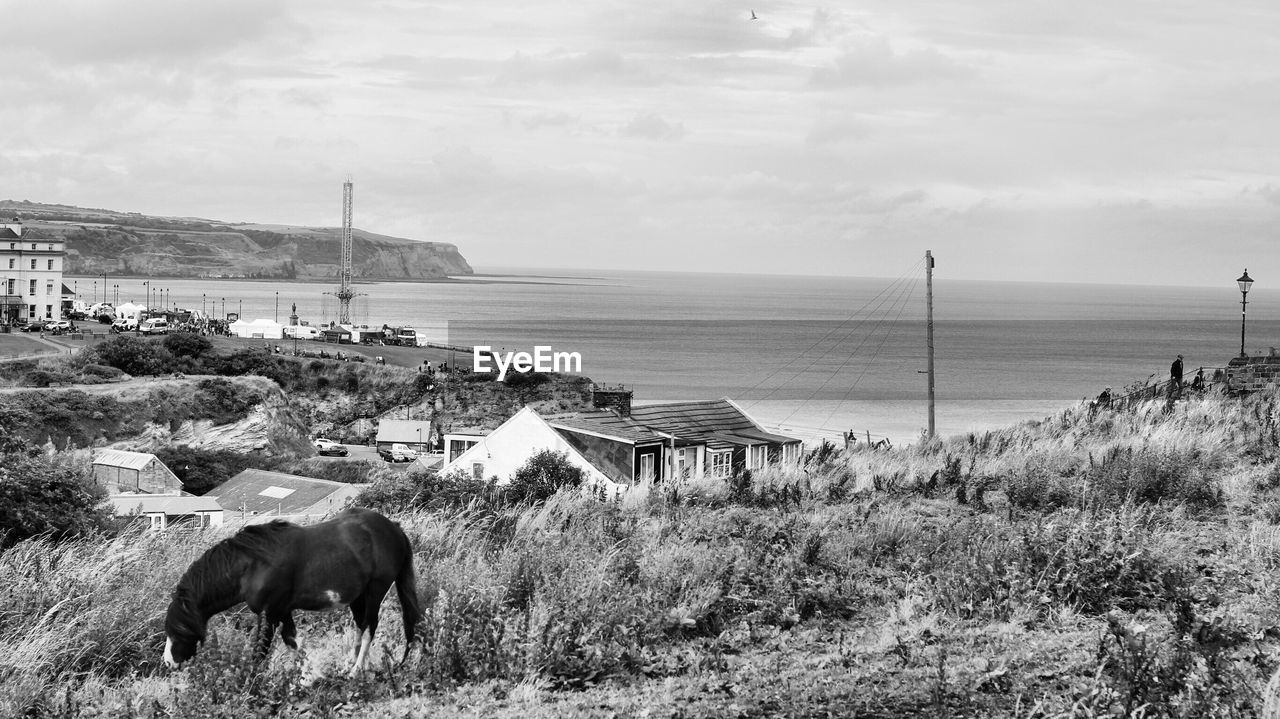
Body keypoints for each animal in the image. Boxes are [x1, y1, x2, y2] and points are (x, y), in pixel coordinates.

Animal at [162, 504, 422, 670]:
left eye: (178, 630)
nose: (168, 662)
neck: (253, 564)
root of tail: (394, 528)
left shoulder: (268, 614)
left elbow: (260, 653)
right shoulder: (282, 611)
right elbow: (294, 643)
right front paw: (305, 677)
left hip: (375, 590)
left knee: (369, 626)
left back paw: (356, 671)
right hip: (358, 596)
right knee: (360, 626)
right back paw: (352, 664)